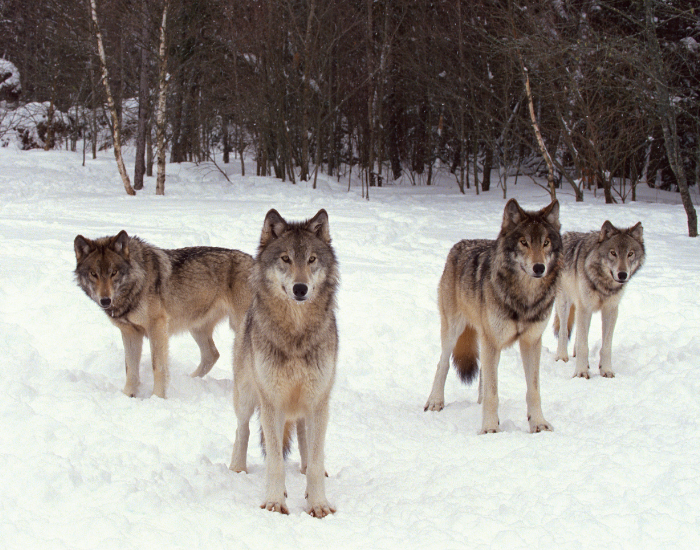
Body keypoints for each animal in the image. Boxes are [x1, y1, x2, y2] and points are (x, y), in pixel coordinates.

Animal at [74, 231, 254, 398]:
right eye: (93, 274)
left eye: (114, 272)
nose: (105, 300)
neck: (137, 283)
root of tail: (254, 260)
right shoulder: (129, 333)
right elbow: (130, 369)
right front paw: (128, 395)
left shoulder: (157, 328)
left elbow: (158, 367)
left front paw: (157, 397)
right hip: (196, 328)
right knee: (212, 355)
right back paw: (189, 380)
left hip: (240, 329)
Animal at [229, 209, 339, 518]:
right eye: (285, 259)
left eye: (311, 259)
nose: (300, 288)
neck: (296, 334)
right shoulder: (272, 402)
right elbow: (275, 461)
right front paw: (275, 501)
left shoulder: (319, 401)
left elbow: (315, 458)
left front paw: (318, 503)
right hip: (247, 396)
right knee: (242, 428)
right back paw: (237, 469)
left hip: (303, 407)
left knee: (303, 439)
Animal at [424, 199, 562, 434]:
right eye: (524, 242)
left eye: (545, 243)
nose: (539, 267)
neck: (524, 298)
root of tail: (460, 244)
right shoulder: (492, 341)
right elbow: (493, 393)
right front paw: (489, 428)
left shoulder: (531, 341)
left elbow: (533, 391)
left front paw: (538, 423)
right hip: (454, 331)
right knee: (443, 364)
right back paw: (435, 402)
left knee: (482, 374)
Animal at [554, 221, 645, 378]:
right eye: (613, 253)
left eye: (630, 254)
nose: (622, 274)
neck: (604, 284)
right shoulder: (585, 307)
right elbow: (583, 345)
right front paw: (581, 372)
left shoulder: (610, 310)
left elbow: (606, 346)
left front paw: (606, 370)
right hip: (564, 303)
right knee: (564, 331)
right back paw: (562, 357)